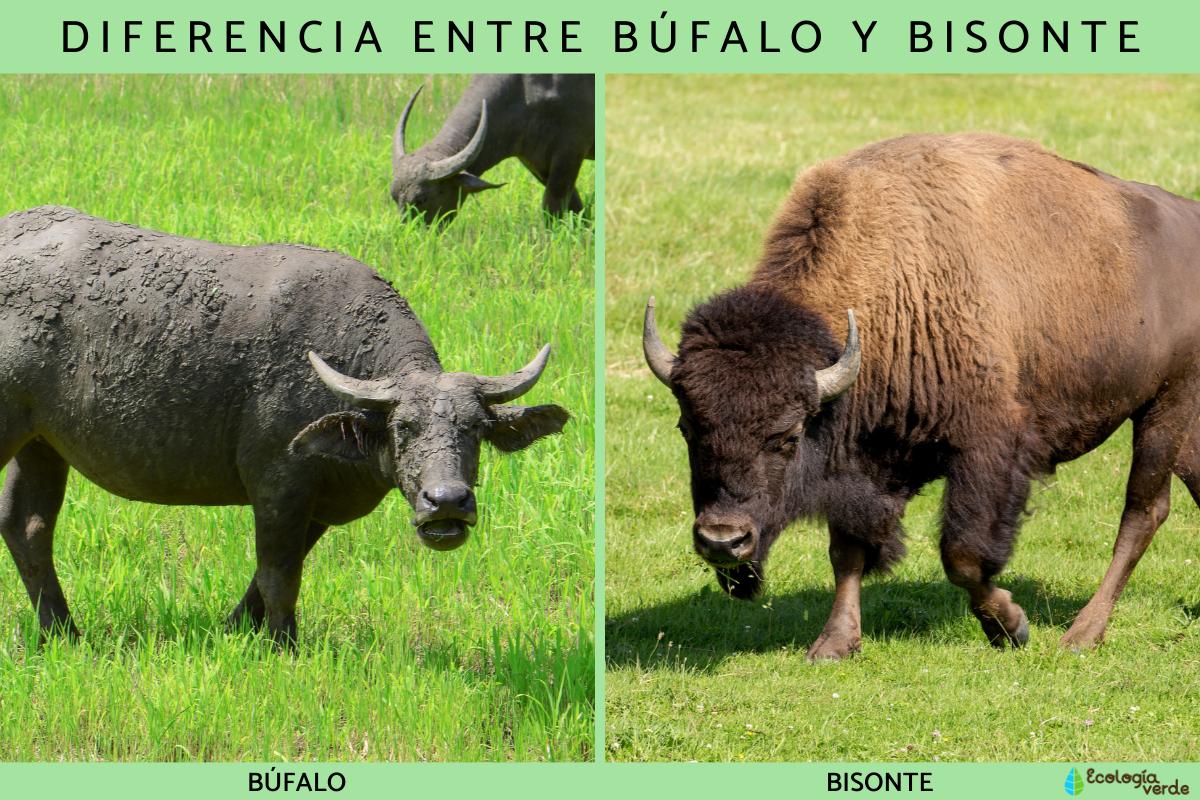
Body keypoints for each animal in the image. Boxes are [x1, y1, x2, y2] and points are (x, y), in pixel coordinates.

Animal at [0, 206, 569, 645]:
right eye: (405, 428)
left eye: (473, 429)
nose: (446, 501)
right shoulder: (279, 484)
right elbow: (279, 575)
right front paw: (283, 645)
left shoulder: (315, 500)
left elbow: (269, 575)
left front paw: (234, 630)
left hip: (43, 444)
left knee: (27, 526)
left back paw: (63, 632)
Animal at [391, 73, 595, 224]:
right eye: (394, 196)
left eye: (421, 199)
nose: (411, 234)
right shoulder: (534, 160)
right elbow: (576, 208)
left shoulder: (570, 151)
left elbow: (552, 208)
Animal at [643, 133, 1200, 659]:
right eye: (688, 428)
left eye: (788, 435)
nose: (722, 541)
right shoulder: (862, 464)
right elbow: (847, 552)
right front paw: (834, 645)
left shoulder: (987, 450)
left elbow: (963, 556)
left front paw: (1010, 627)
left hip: (1166, 405)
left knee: (1142, 511)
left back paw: (1082, 634)